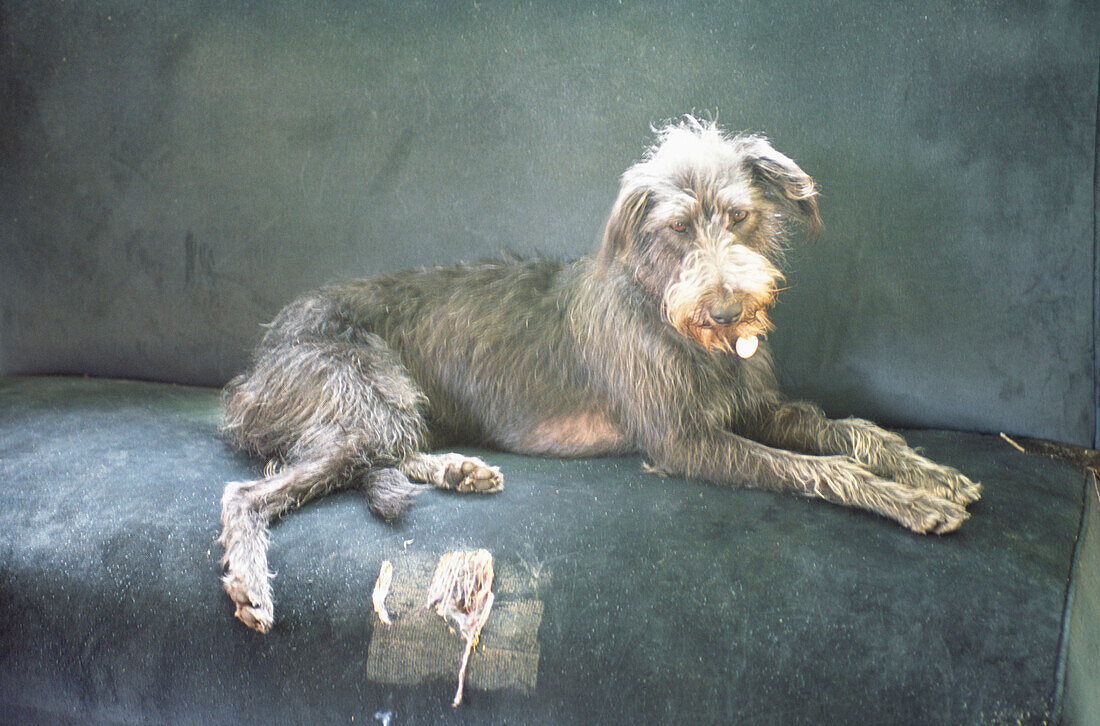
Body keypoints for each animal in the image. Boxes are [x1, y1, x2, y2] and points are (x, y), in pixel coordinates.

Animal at [214, 117, 981, 629]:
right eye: (678, 227)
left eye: (739, 216)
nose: (729, 312)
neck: (666, 314)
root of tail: (256, 366)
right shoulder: (684, 442)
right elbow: (816, 468)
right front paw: (910, 501)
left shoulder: (748, 405)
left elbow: (847, 428)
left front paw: (930, 474)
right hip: (364, 393)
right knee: (256, 489)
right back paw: (251, 581)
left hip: (386, 408)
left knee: (381, 456)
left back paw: (459, 469)